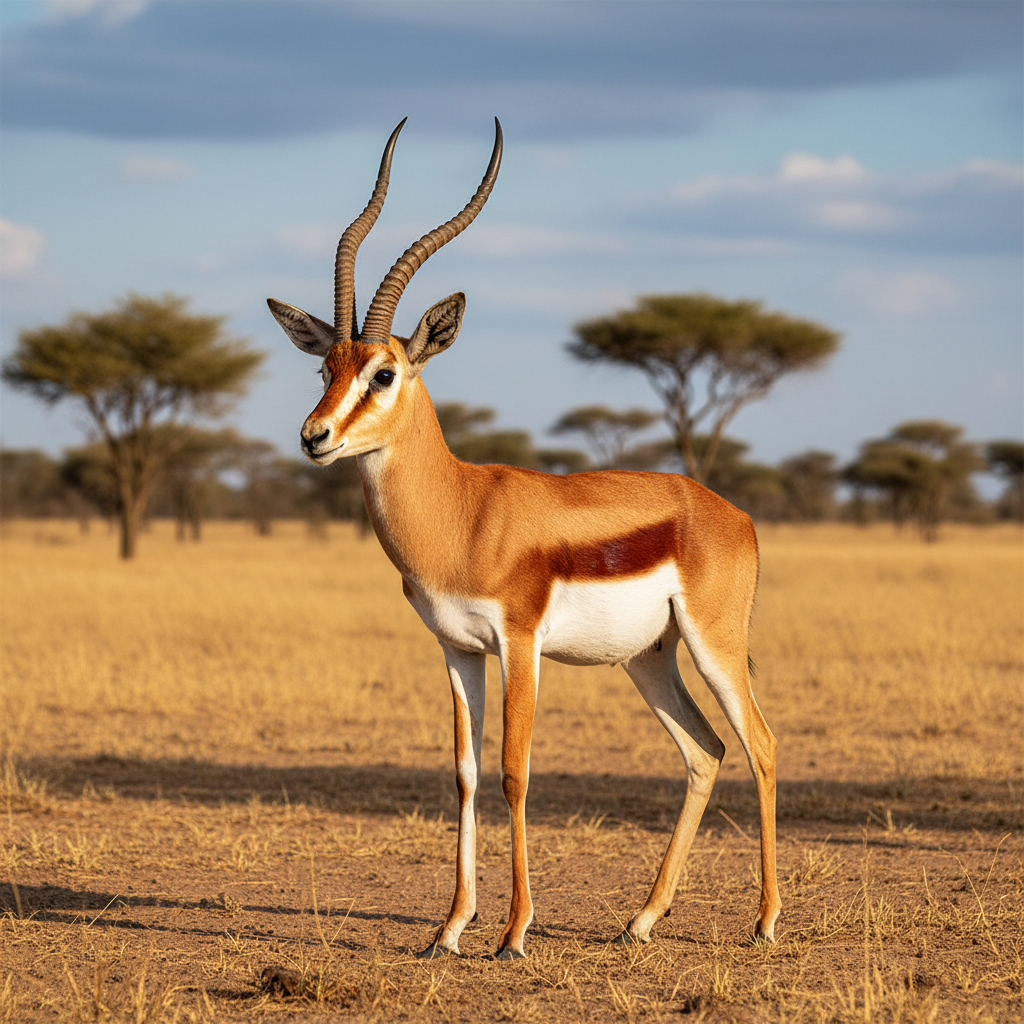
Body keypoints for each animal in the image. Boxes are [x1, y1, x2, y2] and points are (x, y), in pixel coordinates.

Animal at [268, 119, 781, 960]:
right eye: (325, 367)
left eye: (384, 373)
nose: (315, 437)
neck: (463, 513)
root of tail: (729, 512)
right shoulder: (457, 649)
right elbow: (466, 774)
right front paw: (448, 929)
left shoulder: (520, 644)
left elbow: (515, 771)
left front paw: (512, 932)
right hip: (650, 658)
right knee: (705, 750)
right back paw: (641, 921)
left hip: (715, 644)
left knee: (760, 743)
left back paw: (765, 921)